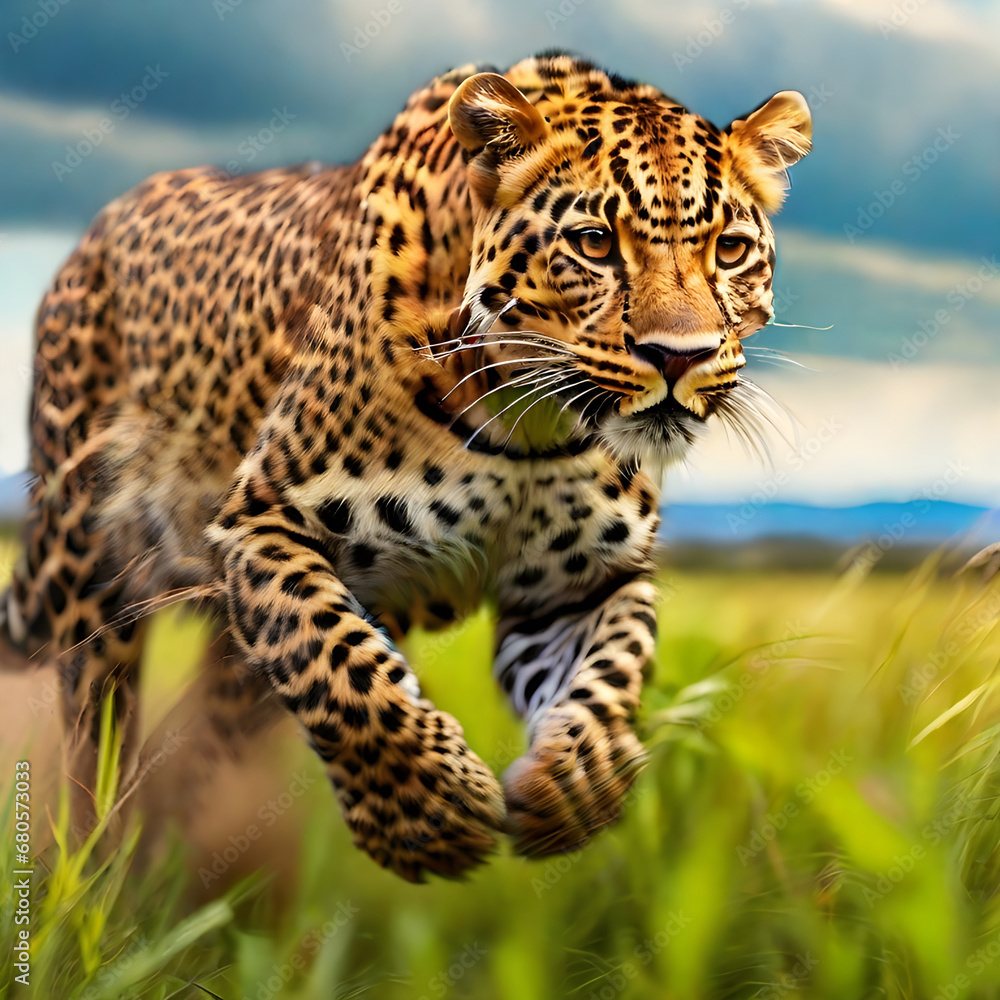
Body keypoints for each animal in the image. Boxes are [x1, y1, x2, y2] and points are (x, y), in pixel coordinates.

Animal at [0, 51, 811, 881]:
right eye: (593, 243)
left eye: (730, 250)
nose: (681, 357)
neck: (529, 423)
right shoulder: (262, 523)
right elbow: (337, 663)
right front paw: (428, 814)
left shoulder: (578, 585)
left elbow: (614, 668)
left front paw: (577, 785)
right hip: (86, 568)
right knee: (95, 738)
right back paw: (94, 869)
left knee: (201, 745)